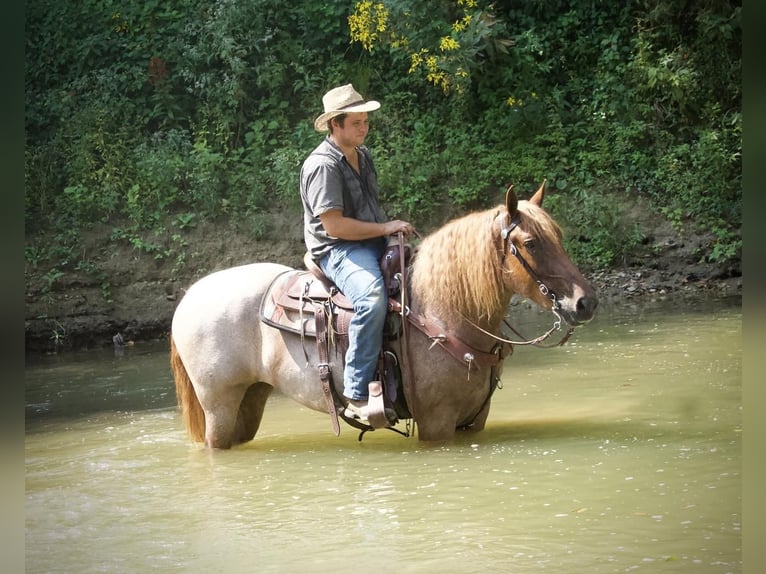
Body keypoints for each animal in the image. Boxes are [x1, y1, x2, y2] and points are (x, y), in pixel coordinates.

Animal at [171, 181, 596, 450]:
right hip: (218, 405)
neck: (442, 313)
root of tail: (189, 298)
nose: (585, 302)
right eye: (531, 243)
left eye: (558, 236)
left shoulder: (474, 420)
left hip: (250, 398)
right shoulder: (437, 424)